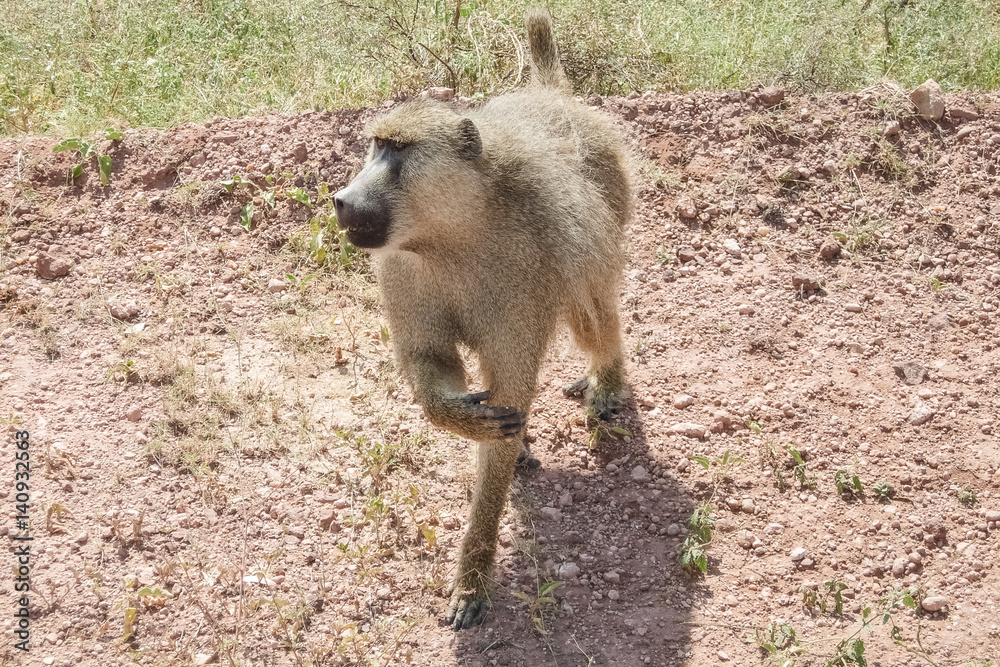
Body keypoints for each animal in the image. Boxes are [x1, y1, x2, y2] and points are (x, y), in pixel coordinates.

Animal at [333, 9, 632, 631]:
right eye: (375, 145)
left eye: (397, 151)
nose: (342, 200)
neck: (455, 232)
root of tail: (556, 98)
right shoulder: (402, 269)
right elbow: (433, 364)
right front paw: (460, 417)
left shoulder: (520, 281)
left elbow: (510, 397)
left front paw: (474, 575)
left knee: (594, 318)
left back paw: (606, 381)